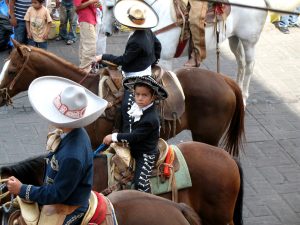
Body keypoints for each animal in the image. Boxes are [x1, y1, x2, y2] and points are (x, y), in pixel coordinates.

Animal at [103, 0, 300, 103]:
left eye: (110, 6)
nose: (106, 32)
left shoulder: (165, 60)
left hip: (249, 41)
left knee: (250, 66)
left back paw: (244, 97)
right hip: (234, 39)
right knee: (241, 64)